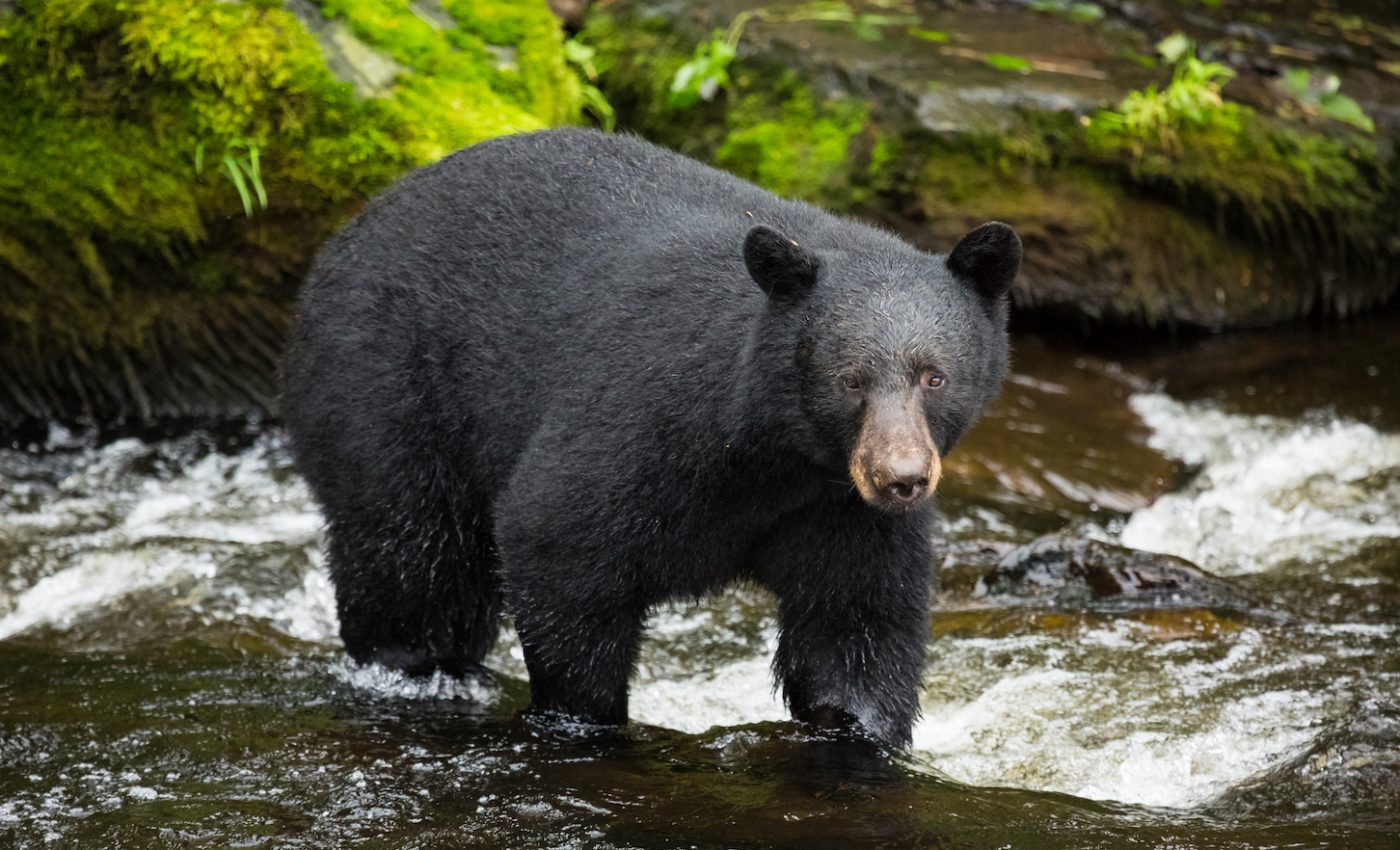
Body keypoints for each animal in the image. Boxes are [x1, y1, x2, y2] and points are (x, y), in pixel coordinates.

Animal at [281, 128, 1019, 747]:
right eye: (850, 380)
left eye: (935, 376)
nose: (902, 478)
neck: (772, 454)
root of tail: (351, 229)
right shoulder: (644, 420)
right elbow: (558, 536)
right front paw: (587, 717)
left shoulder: (838, 510)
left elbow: (854, 625)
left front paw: (860, 729)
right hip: (388, 383)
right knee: (412, 550)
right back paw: (423, 666)